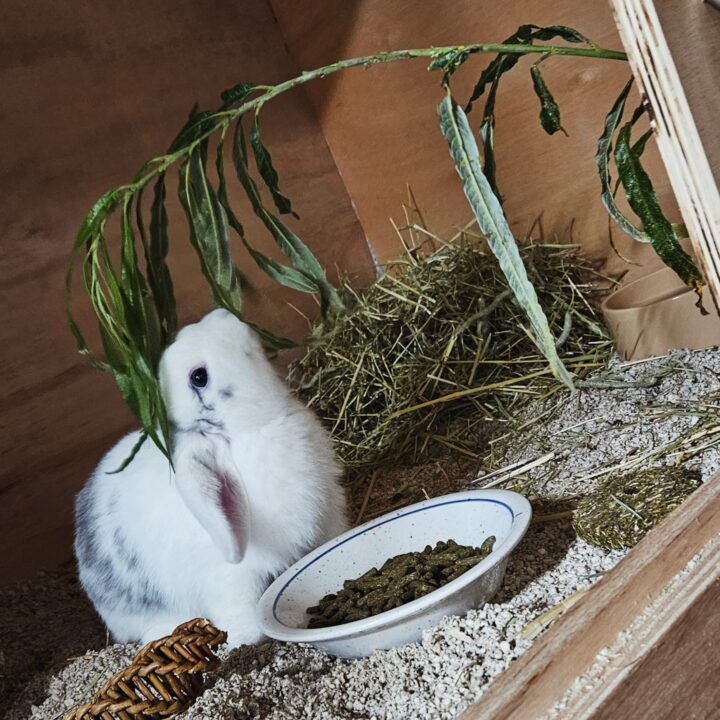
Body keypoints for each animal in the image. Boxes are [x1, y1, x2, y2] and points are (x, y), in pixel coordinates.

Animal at [75, 308, 348, 647]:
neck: (251, 432)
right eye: (199, 377)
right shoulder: (233, 578)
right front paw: (243, 640)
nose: (224, 314)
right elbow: (247, 620)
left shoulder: (329, 522)